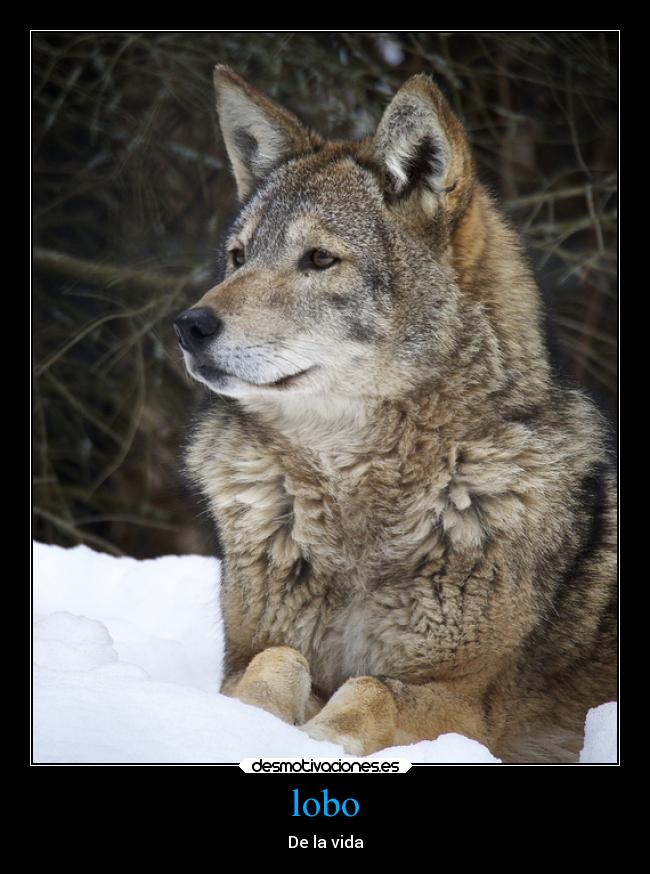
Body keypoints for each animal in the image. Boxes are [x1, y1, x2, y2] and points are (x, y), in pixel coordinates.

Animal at [175, 66, 617, 763]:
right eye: (239, 257)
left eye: (319, 259)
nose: (190, 326)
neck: (353, 493)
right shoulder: (243, 655)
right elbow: (277, 660)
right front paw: (246, 726)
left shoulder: (465, 700)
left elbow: (372, 690)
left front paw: (320, 738)